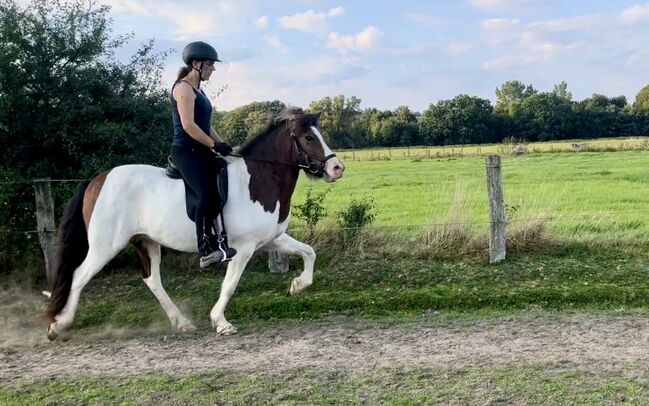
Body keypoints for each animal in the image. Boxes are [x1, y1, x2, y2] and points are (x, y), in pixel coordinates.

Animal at [45, 107, 344, 340]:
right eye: (308, 137)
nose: (337, 168)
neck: (257, 179)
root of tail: (97, 180)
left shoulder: (271, 239)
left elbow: (309, 252)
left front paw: (297, 286)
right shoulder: (243, 248)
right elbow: (230, 284)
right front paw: (221, 322)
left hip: (146, 242)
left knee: (152, 280)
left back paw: (182, 322)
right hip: (105, 246)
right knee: (78, 276)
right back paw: (59, 325)